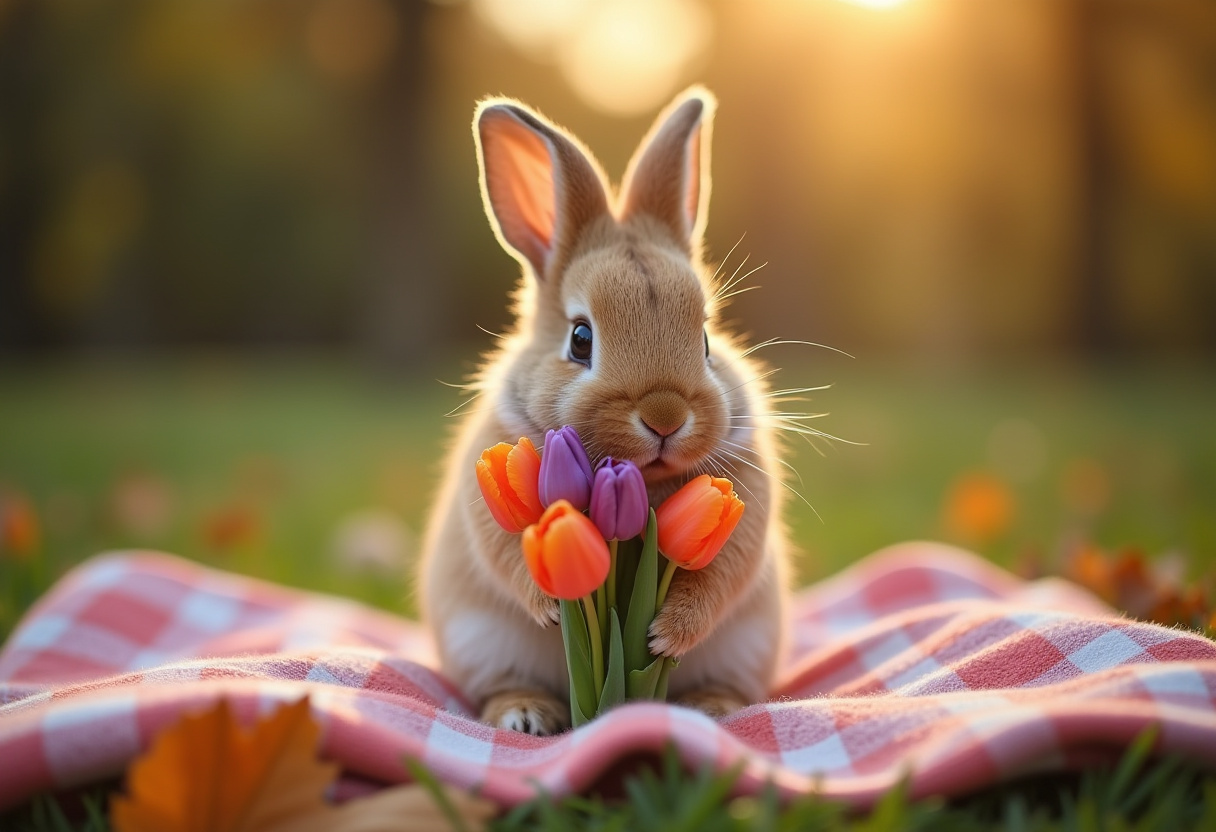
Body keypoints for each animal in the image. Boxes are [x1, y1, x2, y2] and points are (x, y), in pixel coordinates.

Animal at [418, 87, 789, 735]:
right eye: (580, 339)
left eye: (706, 340)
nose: (666, 415)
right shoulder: (485, 497)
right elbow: (506, 553)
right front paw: (548, 606)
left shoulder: (746, 501)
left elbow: (718, 578)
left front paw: (664, 636)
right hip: (479, 640)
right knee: (499, 687)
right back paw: (524, 716)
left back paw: (711, 709)